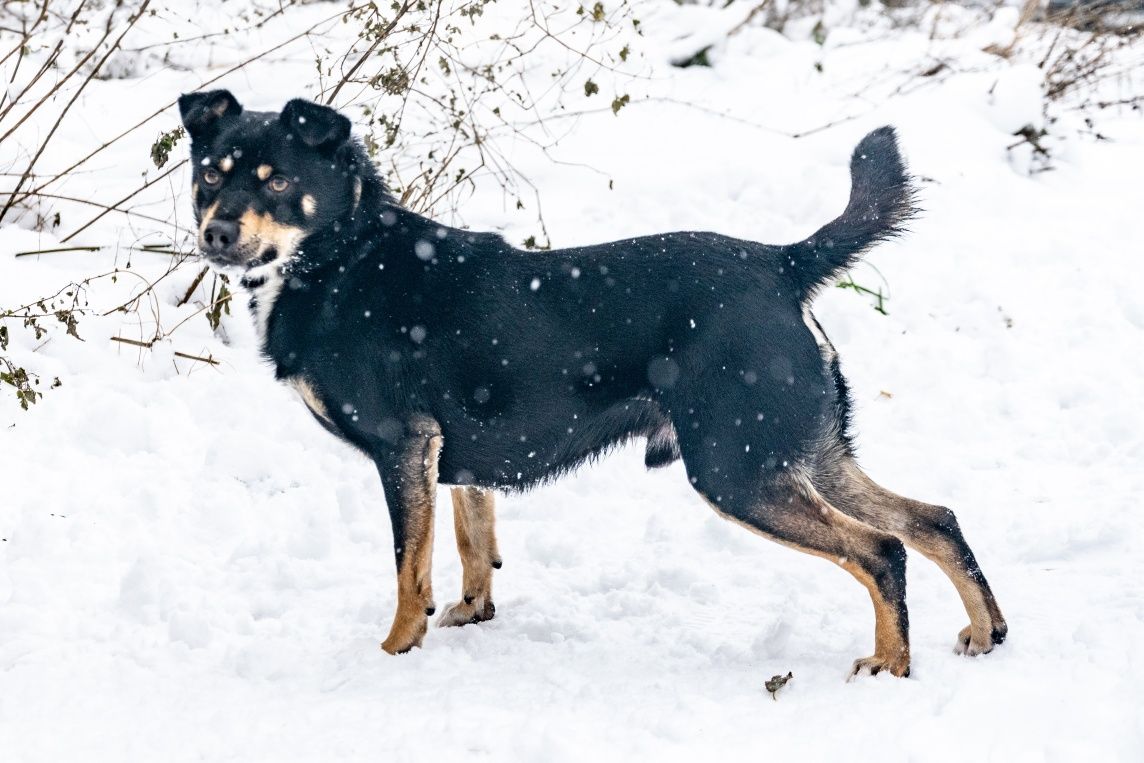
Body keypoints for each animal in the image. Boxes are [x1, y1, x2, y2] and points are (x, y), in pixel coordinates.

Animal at [173, 90, 1006, 681]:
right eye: (209, 174)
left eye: (278, 179)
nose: (216, 233)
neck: (341, 254)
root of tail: (782, 262)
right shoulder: (450, 454)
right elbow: (473, 539)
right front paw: (472, 613)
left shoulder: (402, 445)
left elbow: (411, 567)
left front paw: (395, 651)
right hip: (803, 449)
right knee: (933, 519)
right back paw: (984, 630)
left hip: (736, 466)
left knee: (881, 547)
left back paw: (891, 665)